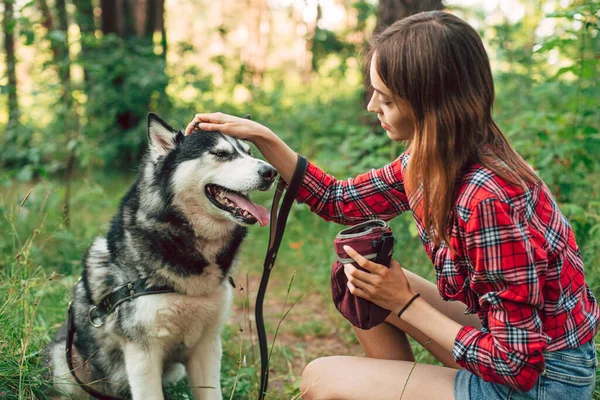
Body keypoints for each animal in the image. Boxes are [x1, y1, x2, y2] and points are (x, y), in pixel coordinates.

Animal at [45, 113, 278, 400]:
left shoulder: (207, 346)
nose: (271, 172)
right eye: (221, 154)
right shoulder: (142, 353)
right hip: (65, 364)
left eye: (248, 152)